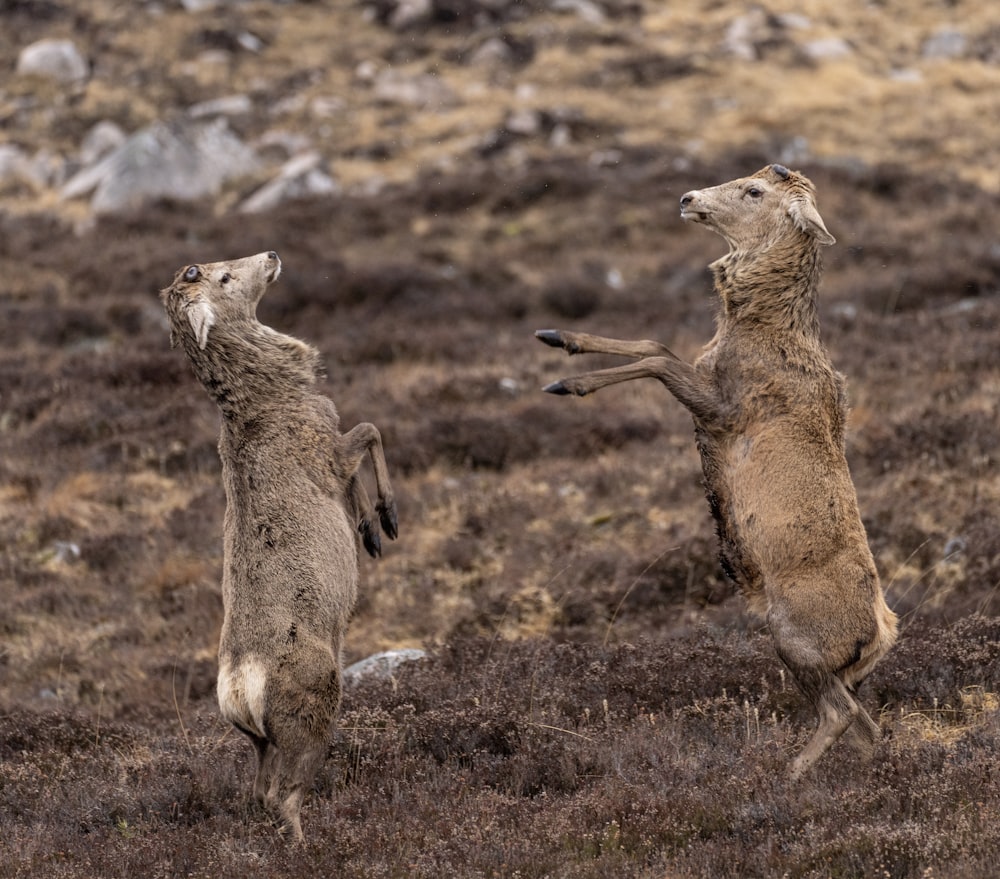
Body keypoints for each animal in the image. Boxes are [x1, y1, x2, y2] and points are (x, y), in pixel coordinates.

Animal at [540, 163, 900, 776]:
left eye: (755, 191)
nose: (687, 198)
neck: (750, 327)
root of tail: (877, 639)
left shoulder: (728, 408)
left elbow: (657, 358)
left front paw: (569, 382)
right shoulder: (707, 381)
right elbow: (656, 341)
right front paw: (558, 336)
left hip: (793, 633)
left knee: (841, 714)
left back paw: (783, 776)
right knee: (867, 725)